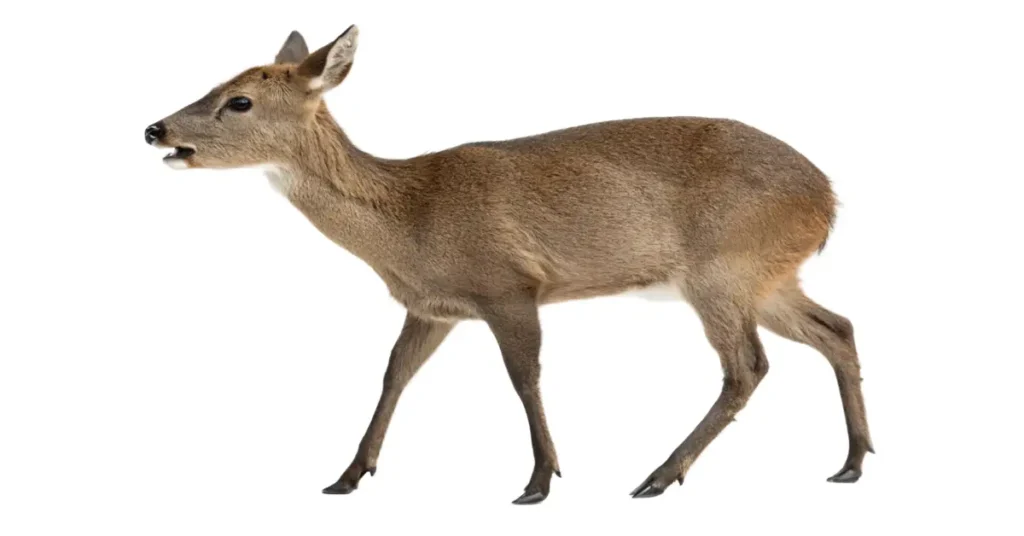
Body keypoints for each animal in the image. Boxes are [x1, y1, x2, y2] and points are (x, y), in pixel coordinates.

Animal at [144, 25, 873, 505]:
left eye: (239, 100)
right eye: (215, 83)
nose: (156, 129)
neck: (409, 219)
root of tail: (828, 197)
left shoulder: (509, 285)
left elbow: (524, 377)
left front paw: (539, 481)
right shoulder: (432, 305)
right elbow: (394, 374)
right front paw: (348, 475)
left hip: (723, 268)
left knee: (748, 366)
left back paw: (659, 475)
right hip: (768, 277)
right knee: (836, 328)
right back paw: (852, 462)